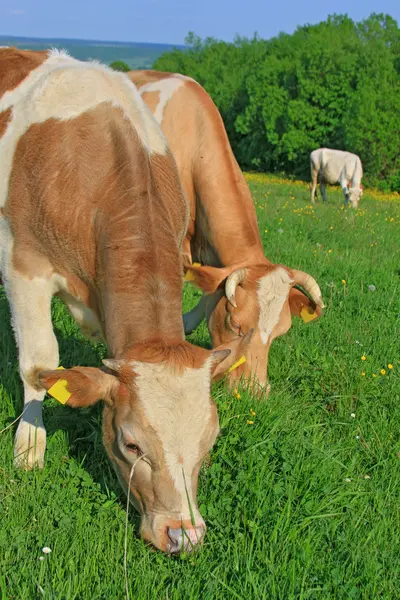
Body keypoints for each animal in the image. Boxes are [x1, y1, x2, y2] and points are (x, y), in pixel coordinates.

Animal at [0, 49, 250, 556]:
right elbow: (38, 363)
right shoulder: (23, 265)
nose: (184, 534)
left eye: (210, 443)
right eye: (131, 444)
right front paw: (30, 445)